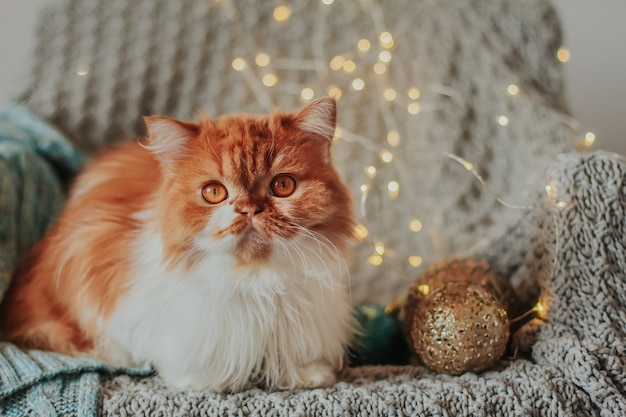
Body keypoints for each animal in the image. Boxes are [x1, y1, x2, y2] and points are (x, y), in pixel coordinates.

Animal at [0, 96, 354, 392]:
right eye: (214, 192)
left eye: (282, 186)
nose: (249, 209)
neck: (254, 281)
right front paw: (210, 381)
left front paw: (306, 375)